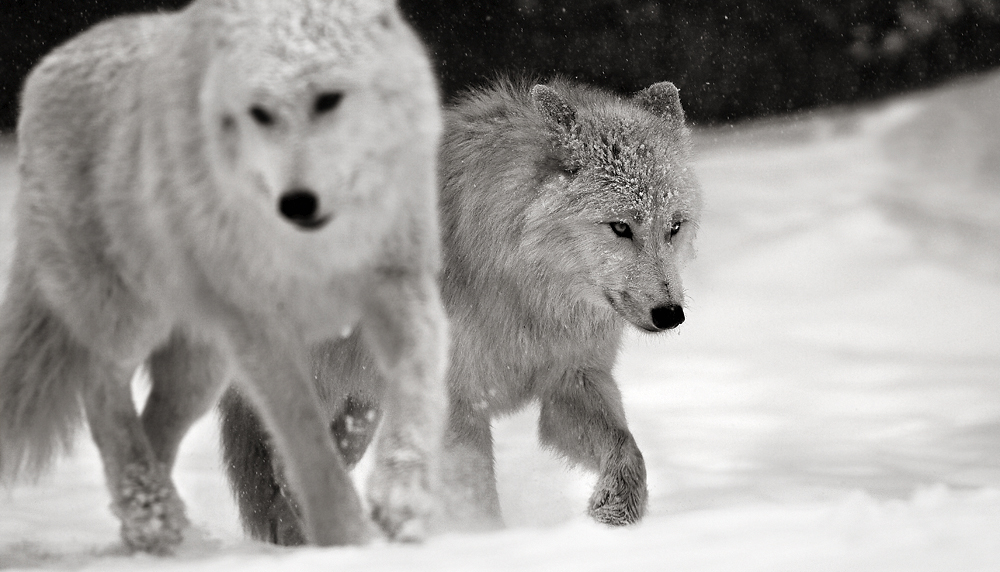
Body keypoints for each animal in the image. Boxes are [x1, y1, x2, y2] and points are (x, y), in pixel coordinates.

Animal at [0, 0, 448, 556]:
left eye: (328, 100)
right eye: (259, 113)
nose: (296, 203)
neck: (315, 249)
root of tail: (48, 65)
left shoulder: (400, 290)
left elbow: (416, 389)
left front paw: (403, 500)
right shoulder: (263, 330)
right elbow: (307, 445)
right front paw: (348, 540)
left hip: (203, 367)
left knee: (153, 427)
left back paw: (150, 531)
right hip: (135, 321)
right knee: (102, 391)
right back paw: (151, 514)